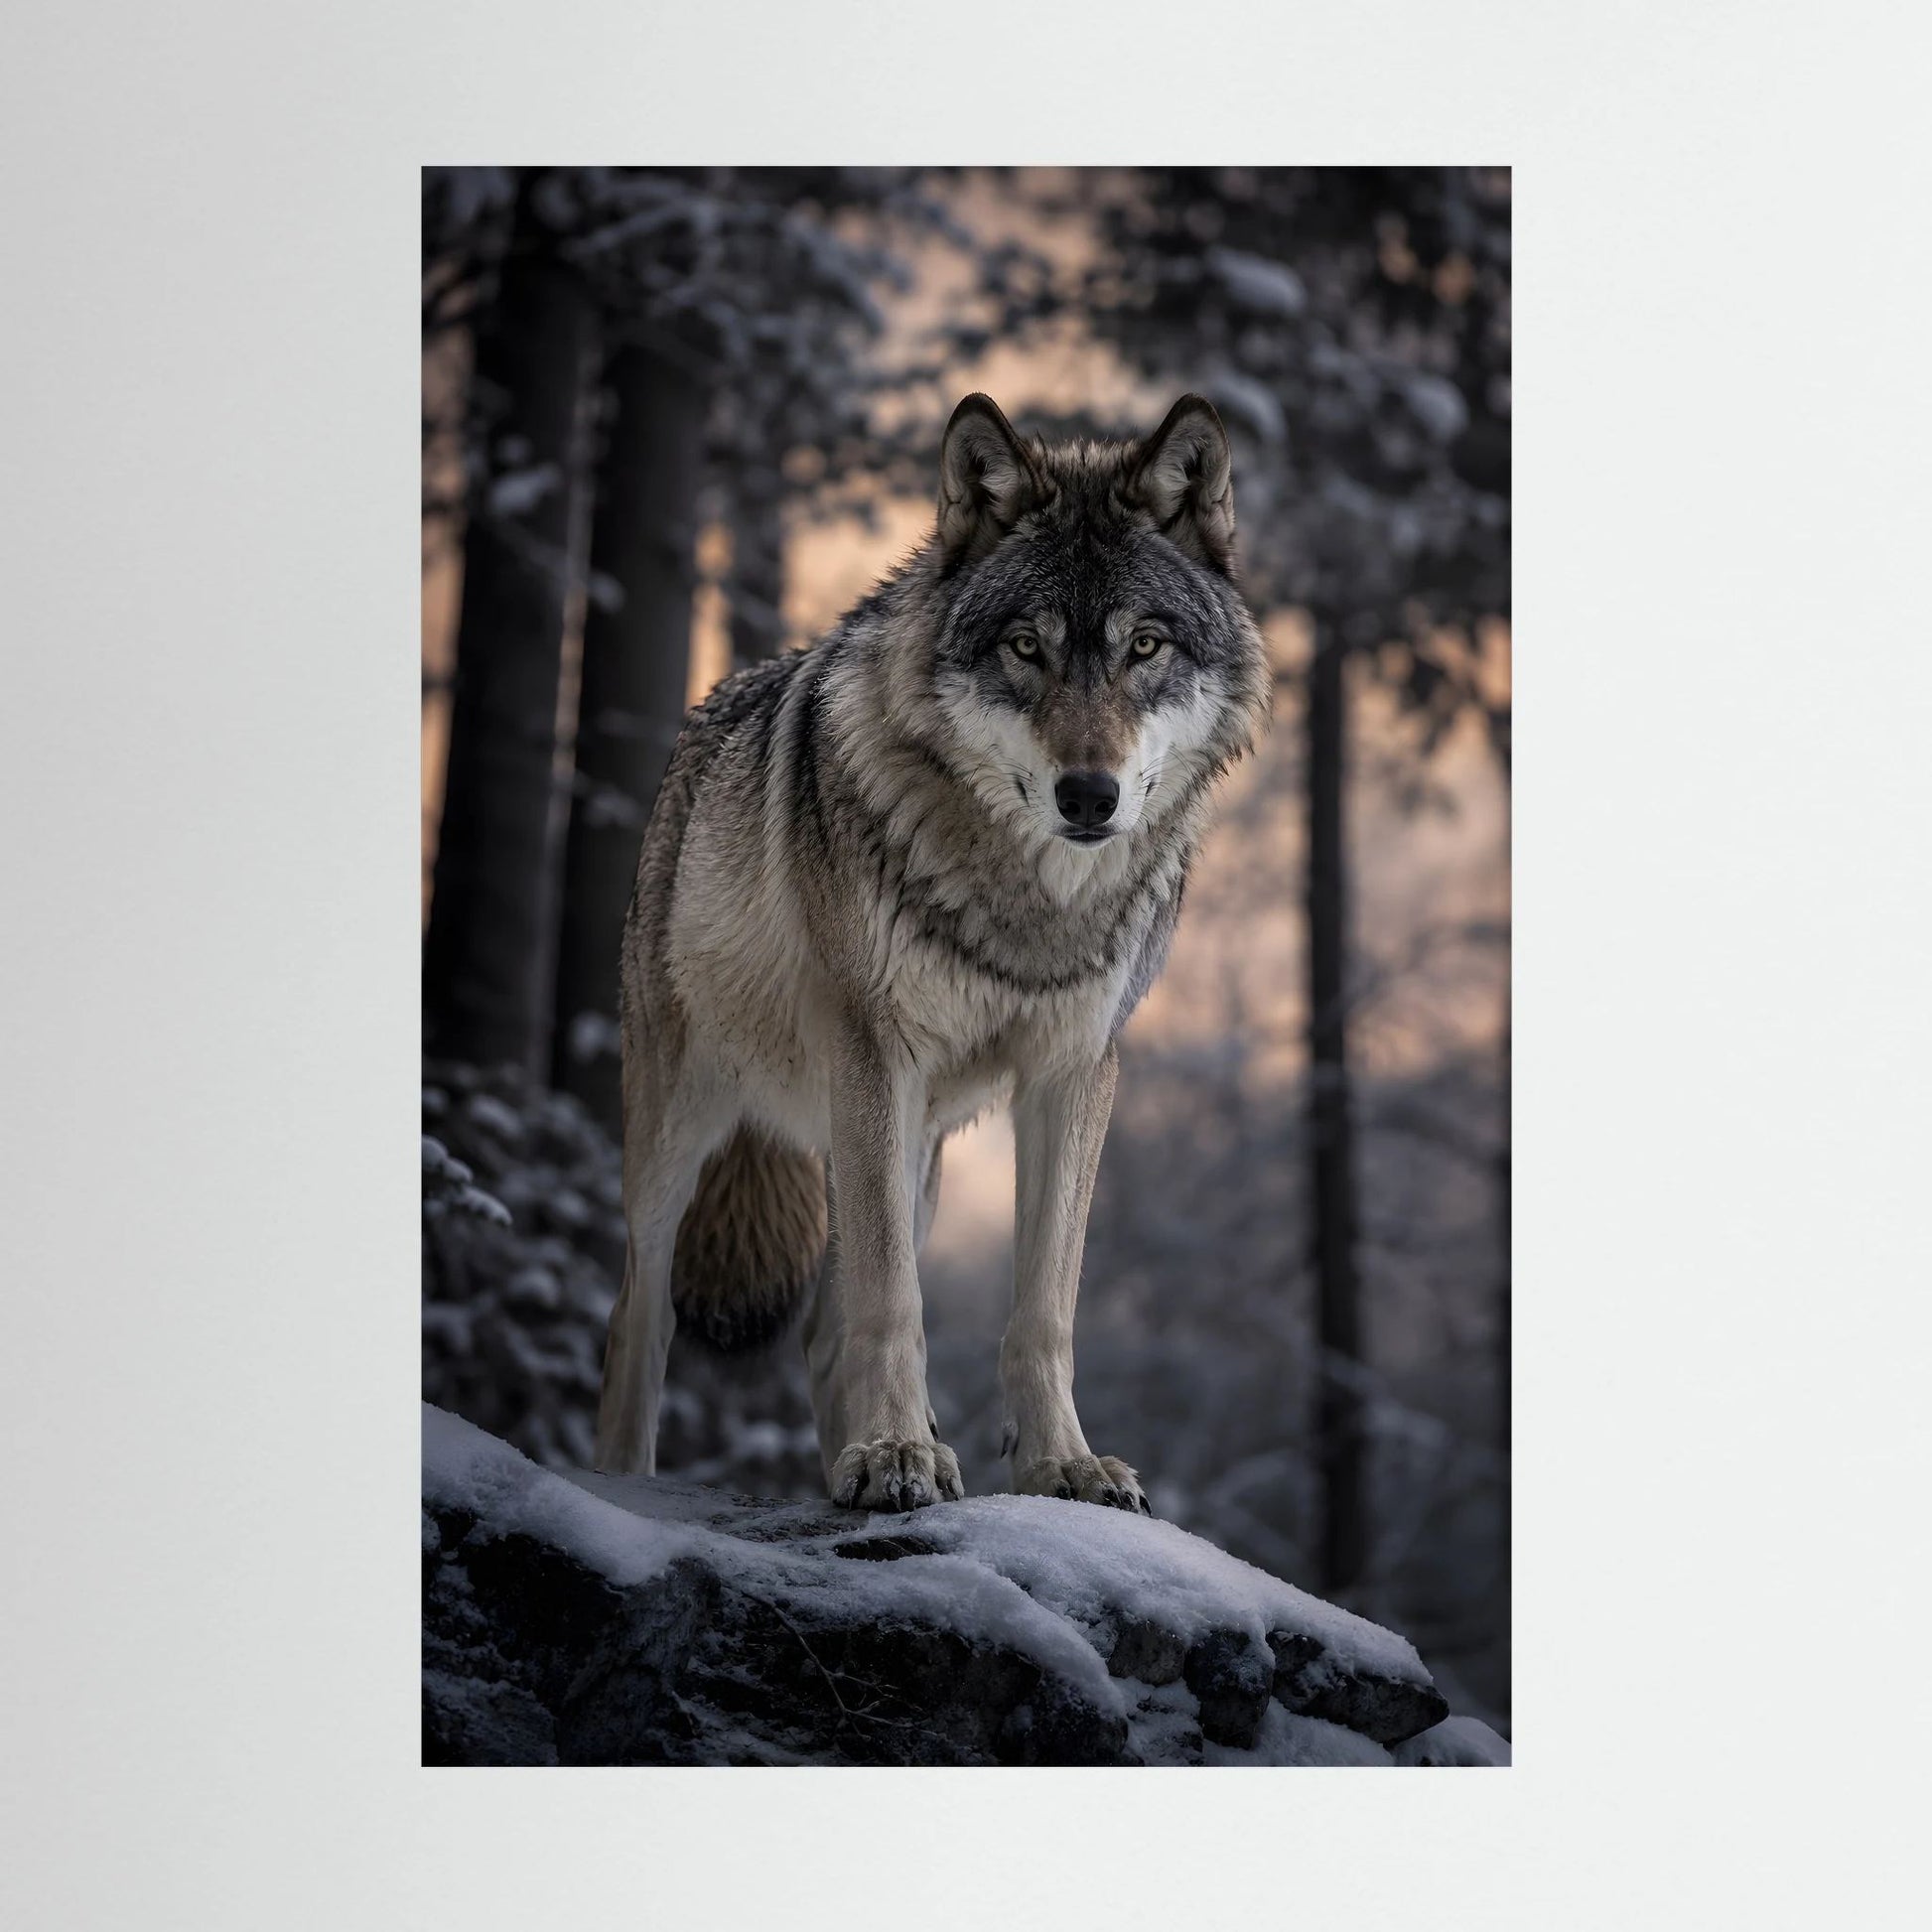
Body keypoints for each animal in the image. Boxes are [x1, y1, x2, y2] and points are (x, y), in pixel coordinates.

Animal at [593, 393, 1269, 1513]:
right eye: (1026, 646)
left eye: (1144, 645)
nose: (1089, 795)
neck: (1027, 899)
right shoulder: (877, 1053)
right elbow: (894, 1300)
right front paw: (896, 1453)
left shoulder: (1074, 1072)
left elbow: (1042, 1308)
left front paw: (1060, 1465)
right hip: (688, 1131)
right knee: (638, 1317)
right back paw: (631, 1484)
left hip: (914, 1154)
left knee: (823, 1331)